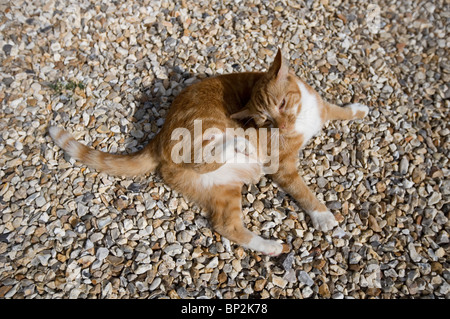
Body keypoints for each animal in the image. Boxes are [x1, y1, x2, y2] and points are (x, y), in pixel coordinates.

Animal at [49, 48, 368, 258]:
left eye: (281, 104)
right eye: (265, 119)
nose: (280, 126)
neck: (303, 117)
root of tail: (159, 136)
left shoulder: (322, 107)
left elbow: (340, 110)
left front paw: (359, 109)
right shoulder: (282, 167)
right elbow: (304, 191)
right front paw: (323, 216)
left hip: (224, 188)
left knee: (226, 225)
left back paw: (269, 246)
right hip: (208, 131)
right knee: (203, 159)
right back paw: (240, 144)